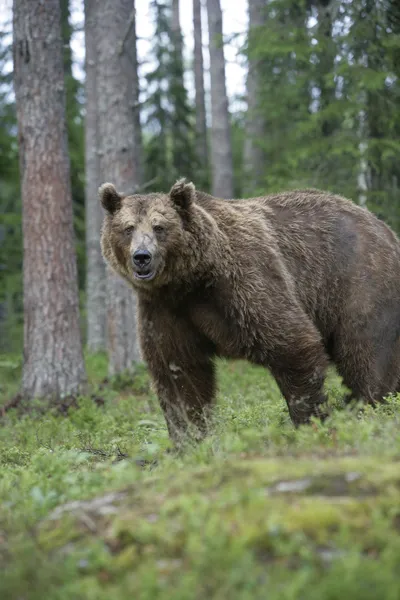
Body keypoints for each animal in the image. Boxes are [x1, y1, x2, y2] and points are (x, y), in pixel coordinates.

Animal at [98, 179, 400, 446]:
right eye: (128, 228)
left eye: (160, 227)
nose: (142, 256)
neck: (190, 283)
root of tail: (385, 228)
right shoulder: (165, 312)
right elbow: (179, 375)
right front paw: (189, 441)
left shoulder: (244, 284)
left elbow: (293, 344)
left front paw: (310, 420)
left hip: (358, 283)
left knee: (365, 352)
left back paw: (370, 407)